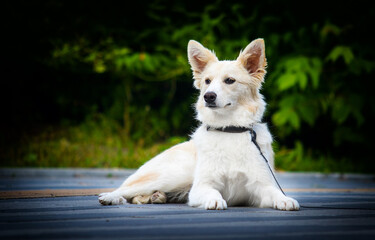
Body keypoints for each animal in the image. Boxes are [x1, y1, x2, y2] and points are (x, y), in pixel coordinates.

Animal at [98, 39, 302, 210]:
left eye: (230, 80)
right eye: (207, 81)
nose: (208, 96)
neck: (229, 130)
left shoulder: (261, 185)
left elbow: (274, 192)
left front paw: (285, 199)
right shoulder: (201, 186)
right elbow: (212, 192)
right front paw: (215, 200)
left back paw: (154, 197)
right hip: (175, 175)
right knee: (125, 190)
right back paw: (111, 197)